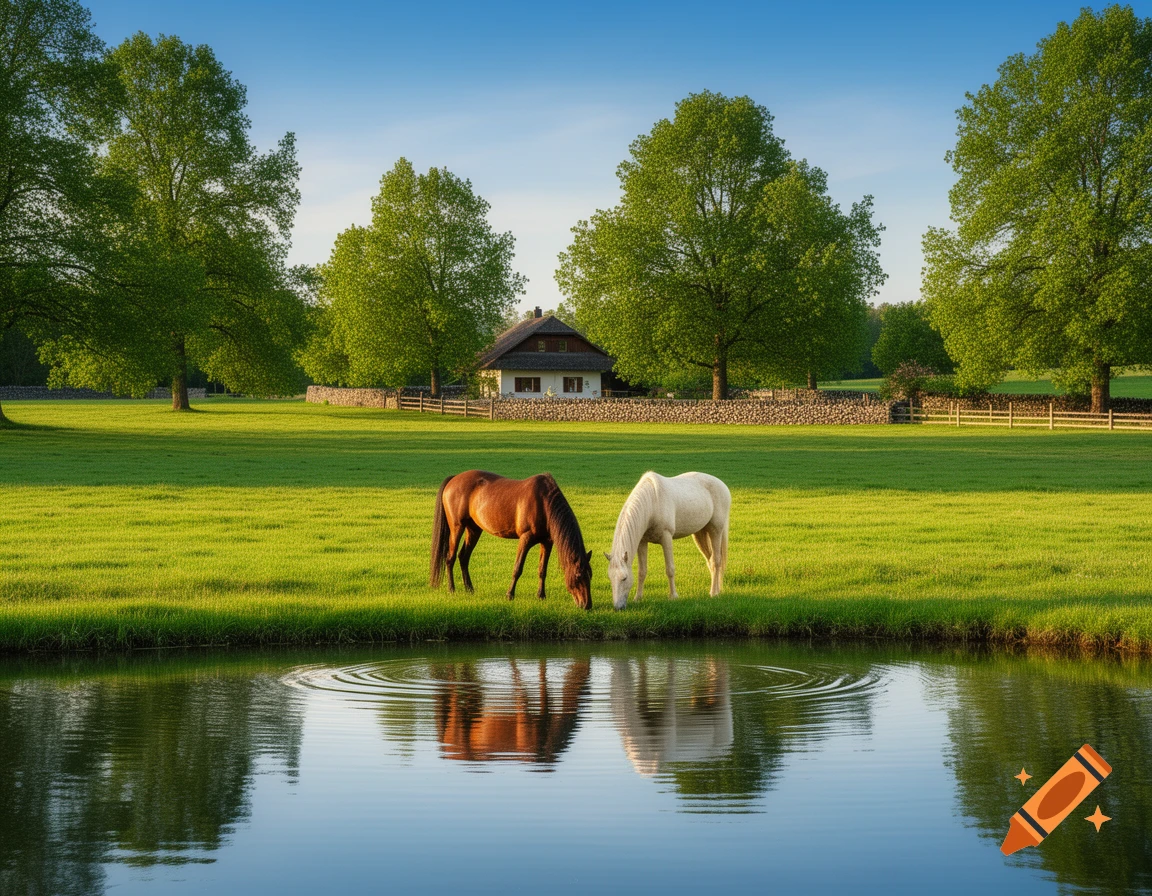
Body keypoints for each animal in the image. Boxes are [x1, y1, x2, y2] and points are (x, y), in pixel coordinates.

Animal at [430, 470, 593, 609]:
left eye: (590, 575)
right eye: (578, 576)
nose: (587, 605)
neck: (543, 503)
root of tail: (454, 478)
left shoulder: (547, 542)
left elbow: (542, 570)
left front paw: (541, 595)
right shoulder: (525, 539)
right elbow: (517, 568)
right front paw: (510, 594)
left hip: (474, 529)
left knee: (464, 557)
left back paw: (469, 589)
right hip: (457, 527)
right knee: (450, 558)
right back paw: (451, 589)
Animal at [604, 471, 730, 610]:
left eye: (624, 578)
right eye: (610, 578)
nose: (618, 607)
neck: (652, 502)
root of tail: (723, 485)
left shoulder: (666, 538)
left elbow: (670, 569)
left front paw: (673, 596)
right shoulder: (642, 542)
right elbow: (642, 571)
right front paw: (638, 598)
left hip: (716, 530)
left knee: (716, 560)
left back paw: (714, 593)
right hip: (700, 533)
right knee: (710, 560)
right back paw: (716, 589)